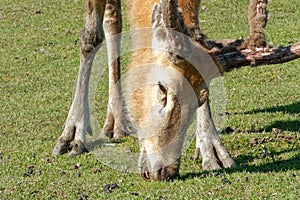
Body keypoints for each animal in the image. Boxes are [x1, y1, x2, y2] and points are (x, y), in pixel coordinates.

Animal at [53, 0, 237, 181]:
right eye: (162, 88)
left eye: (201, 99)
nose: (166, 172)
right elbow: (90, 37)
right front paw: (72, 137)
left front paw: (213, 151)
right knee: (111, 20)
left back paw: (116, 122)